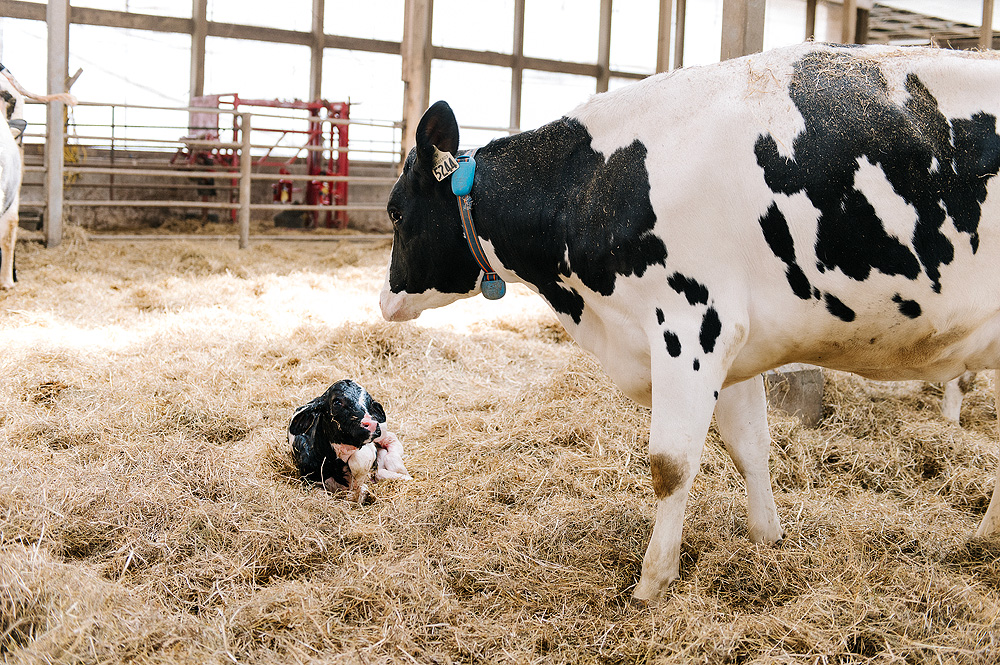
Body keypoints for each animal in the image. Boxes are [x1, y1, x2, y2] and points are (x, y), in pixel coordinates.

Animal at [379, 42, 1000, 600]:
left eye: (395, 212)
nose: (384, 302)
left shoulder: (692, 326)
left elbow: (670, 464)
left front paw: (653, 583)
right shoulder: (740, 346)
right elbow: (751, 446)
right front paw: (767, 542)